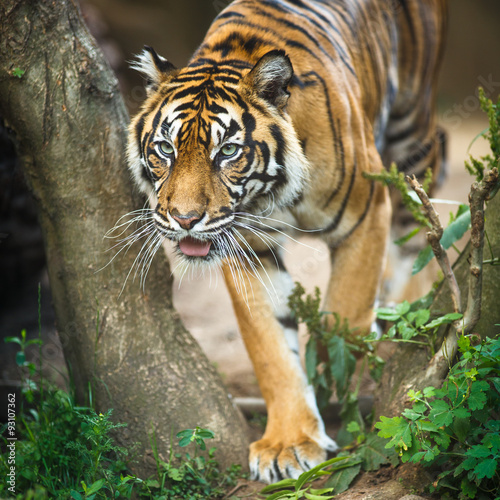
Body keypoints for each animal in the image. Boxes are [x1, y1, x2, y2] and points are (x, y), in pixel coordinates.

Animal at [127, 0, 448, 484]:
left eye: (227, 152)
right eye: (165, 149)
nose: (184, 220)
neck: (269, 194)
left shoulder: (366, 212)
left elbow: (343, 318)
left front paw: (339, 397)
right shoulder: (246, 247)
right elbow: (270, 348)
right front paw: (290, 443)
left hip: (411, 134)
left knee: (420, 225)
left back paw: (415, 309)